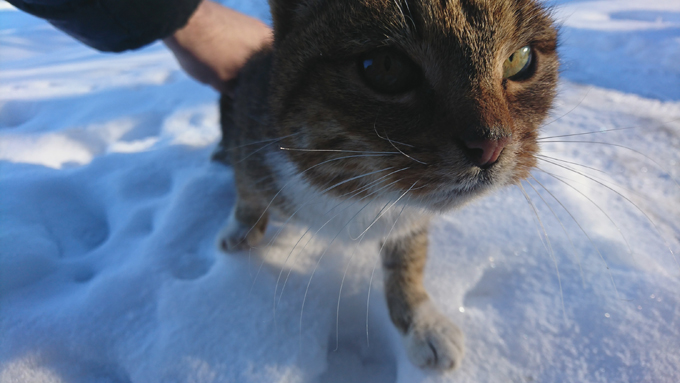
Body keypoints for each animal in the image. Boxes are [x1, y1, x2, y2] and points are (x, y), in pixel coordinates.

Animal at [211, 0, 556, 372]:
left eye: (519, 59)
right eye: (385, 67)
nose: (492, 145)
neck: (359, 192)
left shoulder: (408, 219)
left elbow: (407, 263)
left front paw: (423, 324)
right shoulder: (251, 138)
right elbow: (247, 191)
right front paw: (241, 227)